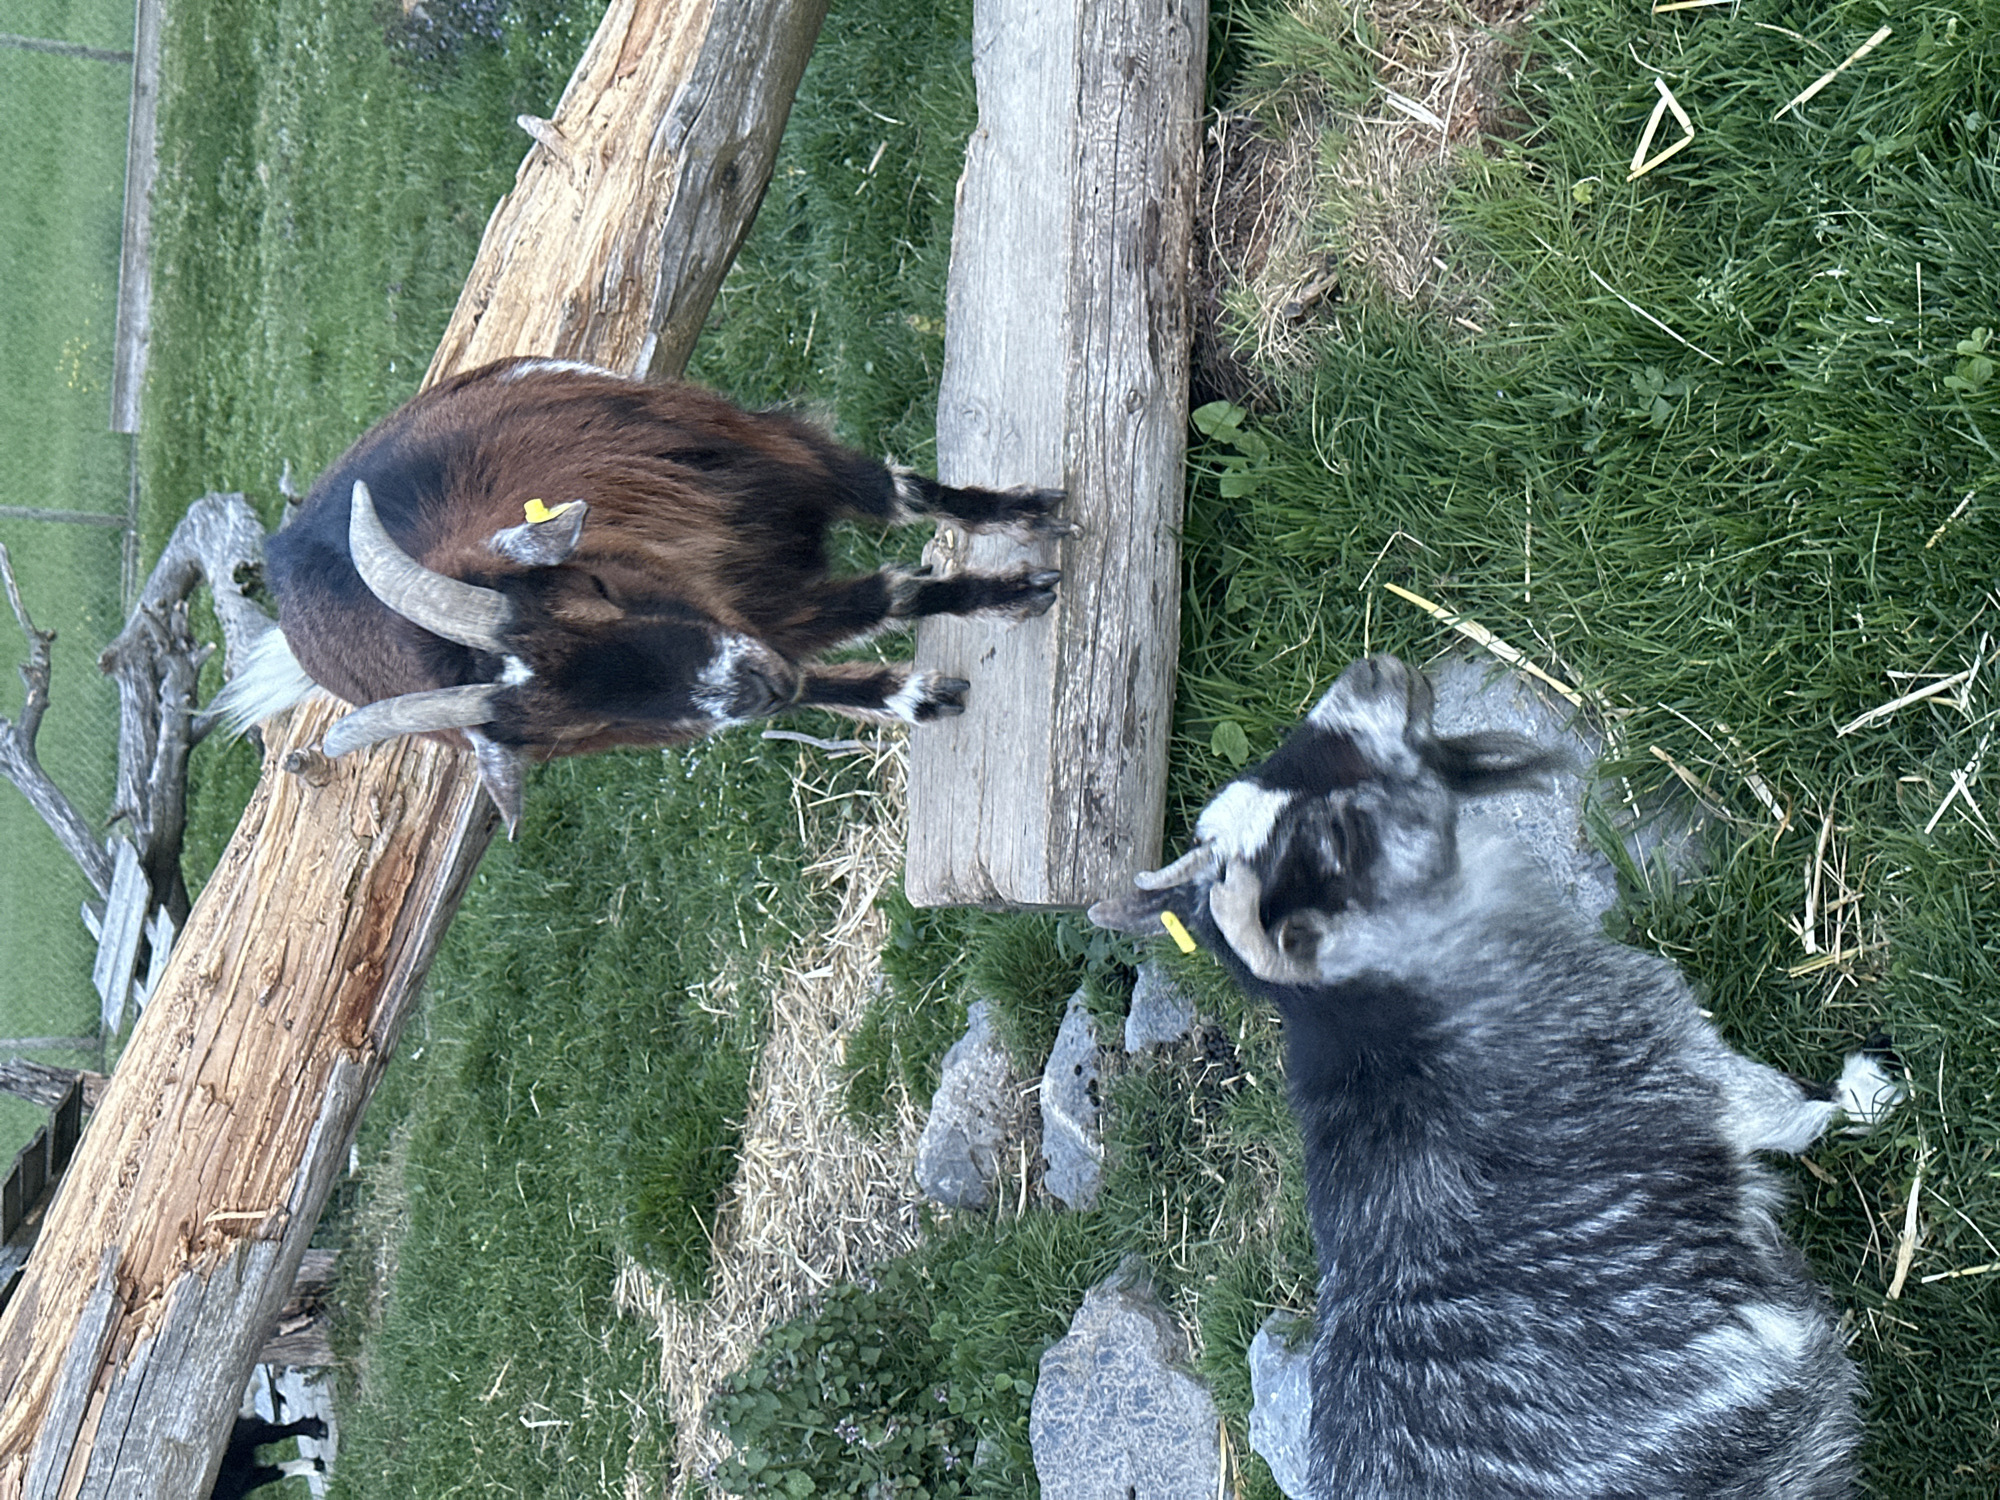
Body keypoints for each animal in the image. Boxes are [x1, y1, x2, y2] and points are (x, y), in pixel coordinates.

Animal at [215, 357, 1067, 832]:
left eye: (590, 584)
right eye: (573, 724)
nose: (752, 687)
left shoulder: (777, 459)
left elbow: (902, 497)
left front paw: (1030, 516)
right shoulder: (762, 616)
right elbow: (889, 599)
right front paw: (1013, 596)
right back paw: (918, 698)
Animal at [1092, 654, 1901, 1498]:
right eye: (1334, 823)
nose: (1373, 670)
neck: (1402, 1024)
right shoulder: (1680, 1059)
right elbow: (1790, 1111)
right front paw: (1874, 1088)